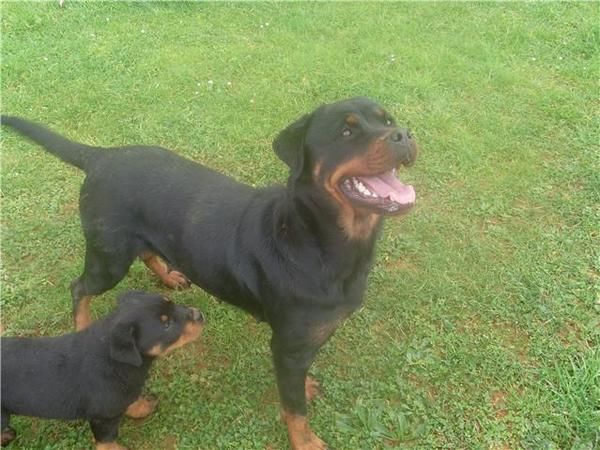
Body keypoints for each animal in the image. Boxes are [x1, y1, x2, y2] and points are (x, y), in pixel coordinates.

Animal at [0, 290, 204, 448]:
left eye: (172, 302)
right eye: (166, 325)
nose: (199, 315)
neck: (118, 361)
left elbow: (131, 400)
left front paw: (142, 406)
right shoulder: (102, 419)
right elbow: (107, 442)